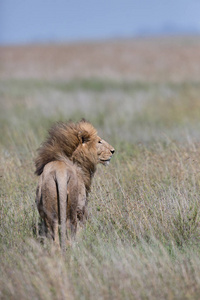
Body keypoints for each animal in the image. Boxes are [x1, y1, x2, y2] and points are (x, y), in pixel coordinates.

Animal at [35, 118, 115, 252]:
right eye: (99, 141)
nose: (113, 151)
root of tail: (60, 172)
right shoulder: (81, 208)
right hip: (73, 207)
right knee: (70, 228)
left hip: (49, 209)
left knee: (54, 235)